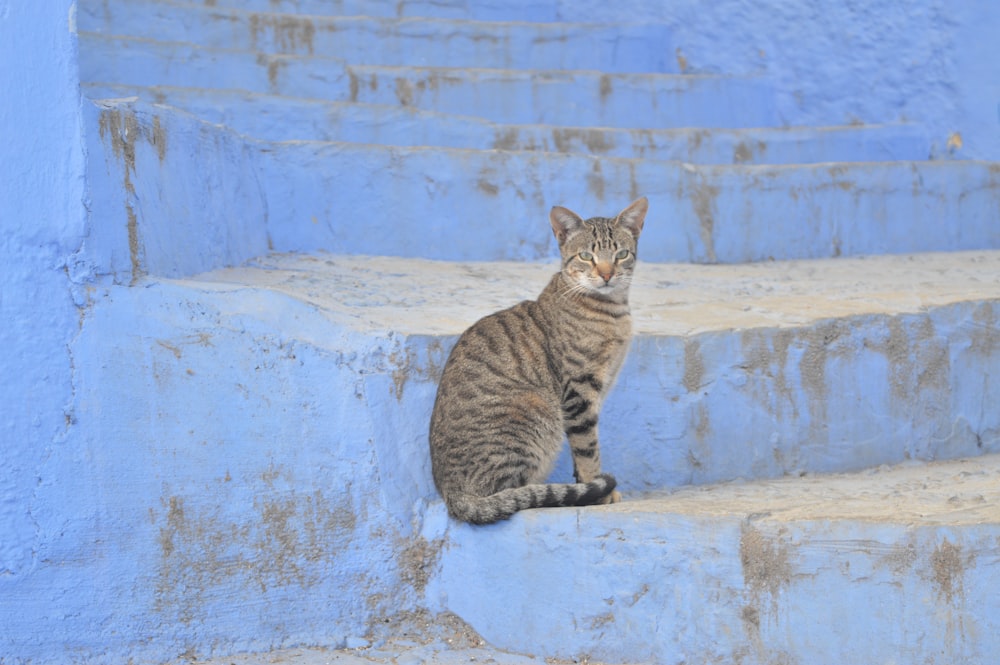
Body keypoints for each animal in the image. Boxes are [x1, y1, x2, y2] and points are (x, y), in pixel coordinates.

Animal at [430, 197, 648, 524]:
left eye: (621, 254)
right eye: (586, 256)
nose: (607, 274)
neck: (612, 312)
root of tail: (452, 496)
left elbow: (580, 453)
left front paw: (586, 487)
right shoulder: (579, 391)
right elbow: (588, 449)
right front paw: (598, 491)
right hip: (535, 412)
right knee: (514, 493)